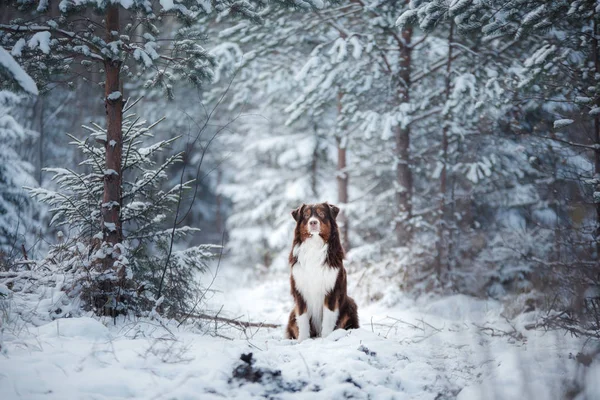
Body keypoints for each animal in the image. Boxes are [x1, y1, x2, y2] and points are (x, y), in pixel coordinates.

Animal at [284, 203, 358, 340]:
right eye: (306, 215)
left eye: (322, 214)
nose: (313, 222)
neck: (314, 245)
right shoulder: (300, 290)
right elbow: (302, 318)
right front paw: (303, 340)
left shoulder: (332, 290)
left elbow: (328, 318)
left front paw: (326, 338)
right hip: (292, 313)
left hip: (351, 304)